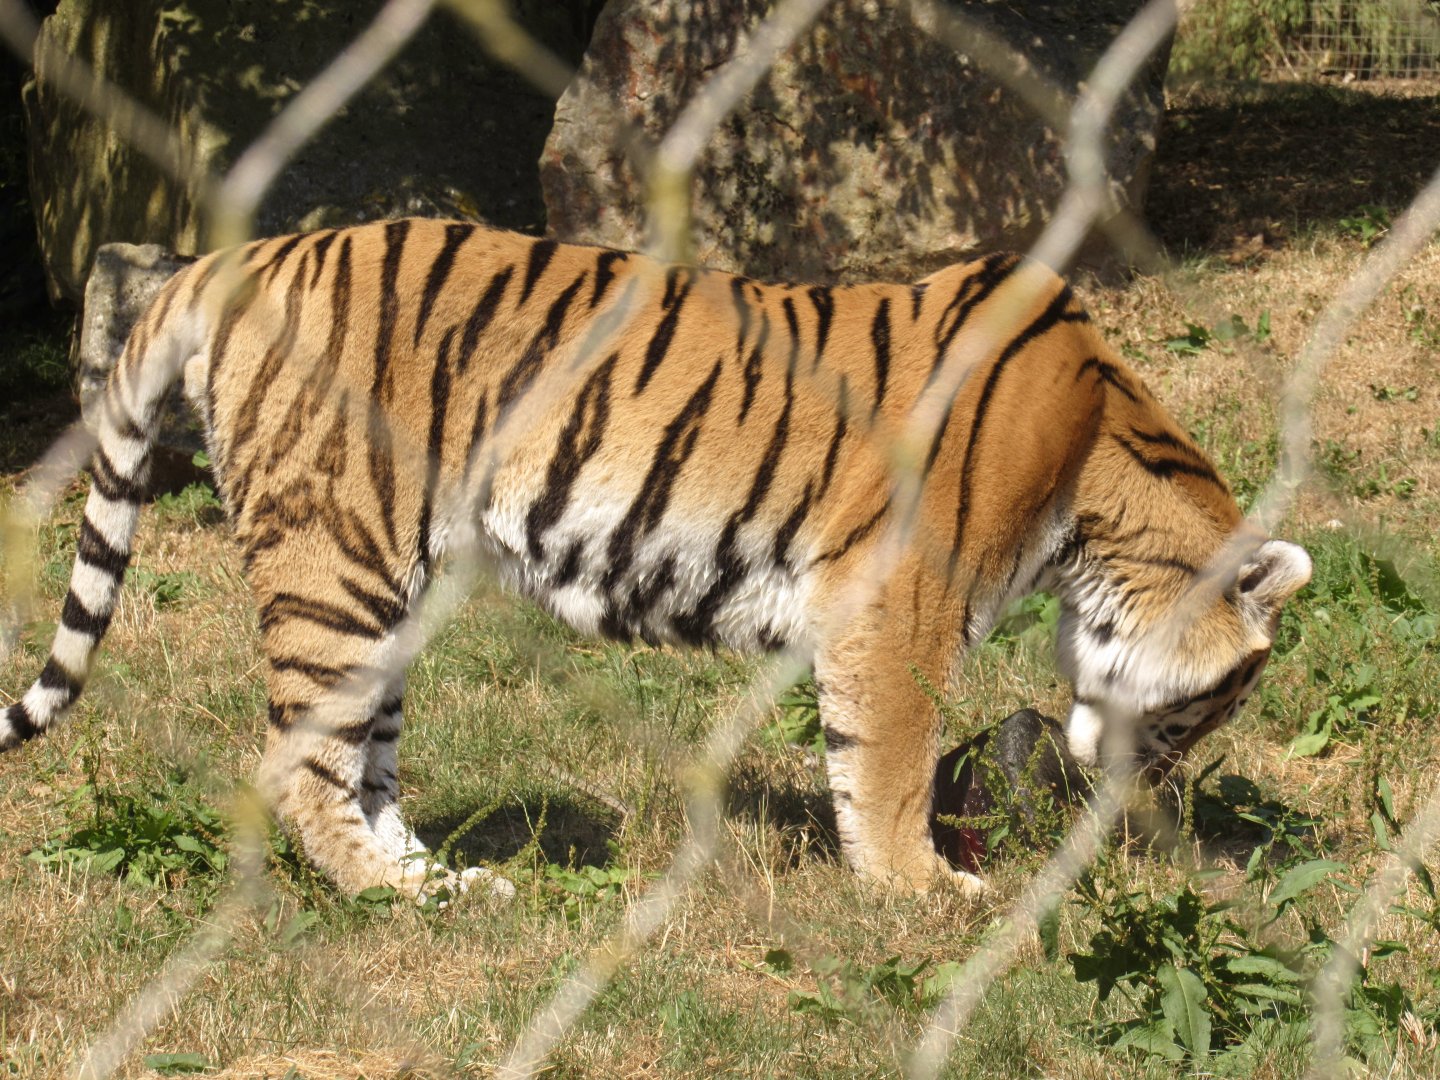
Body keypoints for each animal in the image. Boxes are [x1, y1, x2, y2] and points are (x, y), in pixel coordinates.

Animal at [0, 219, 1311, 901]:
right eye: (1214, 707)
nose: (1148, 789)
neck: (1102, 499)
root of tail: (251, 253)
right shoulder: (897, 605)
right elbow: (888, 764)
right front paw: (922, 892)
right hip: (337, 559)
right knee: (294, 762)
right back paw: (390, 897)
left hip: (385, 587)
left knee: (364, 756)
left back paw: (444, 880)